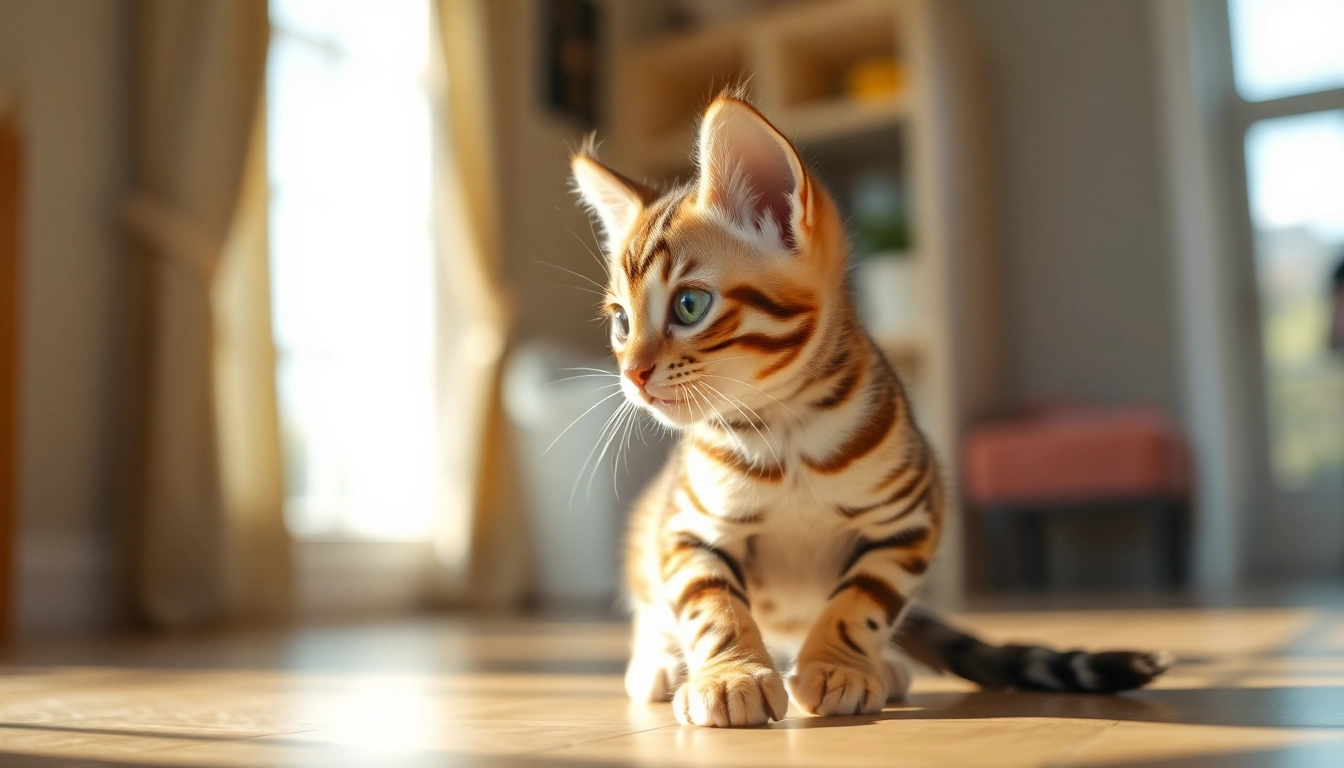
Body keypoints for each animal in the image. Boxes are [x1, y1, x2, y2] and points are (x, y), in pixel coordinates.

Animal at [567, 91, 1166, 726]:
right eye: (621, 321)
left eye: (689, 305)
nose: (632, 374)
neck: (785, 434)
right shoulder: (687, 525)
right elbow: (709, 603)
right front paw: (731, 675)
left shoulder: (911, 519)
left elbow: (864, 600)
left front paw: (839, 667)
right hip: (647, 526)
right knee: (655, 607)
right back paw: (658, 662)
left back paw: (887, 664)